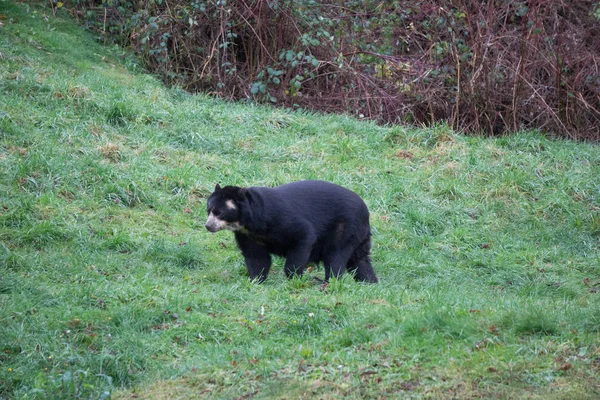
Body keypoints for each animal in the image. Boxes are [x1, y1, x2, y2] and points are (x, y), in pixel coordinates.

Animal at [204, 180, 378, 282]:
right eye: (208, 210)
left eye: (219, 212)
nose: (208, 226)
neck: (249, 223)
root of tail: (366, 210)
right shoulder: (247, 236)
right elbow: (256, 257)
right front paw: (256, 280)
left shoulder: (281, 220)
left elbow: (303, 236)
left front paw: (293, 277)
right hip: (358, 235)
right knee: (359, 260)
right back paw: (369, 281)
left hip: (344, 228)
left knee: (335, 256)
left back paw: (329, 282)